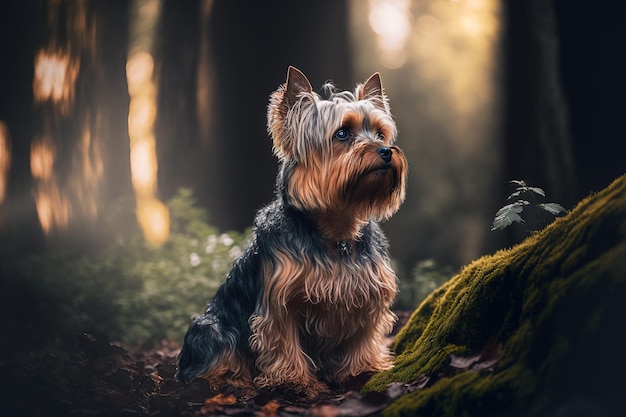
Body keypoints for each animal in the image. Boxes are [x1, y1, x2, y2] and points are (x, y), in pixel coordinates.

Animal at [176, 66, 408, 396]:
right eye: (342, 133)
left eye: (379, 133)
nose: (386, 151)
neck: (337, 231)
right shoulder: (280, 300)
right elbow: (284, 341)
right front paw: (294, 382)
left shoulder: (369, 292)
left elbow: (364, 336)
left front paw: (363, 371)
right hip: (211, 327)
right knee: (215, 358)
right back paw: (231, 381)